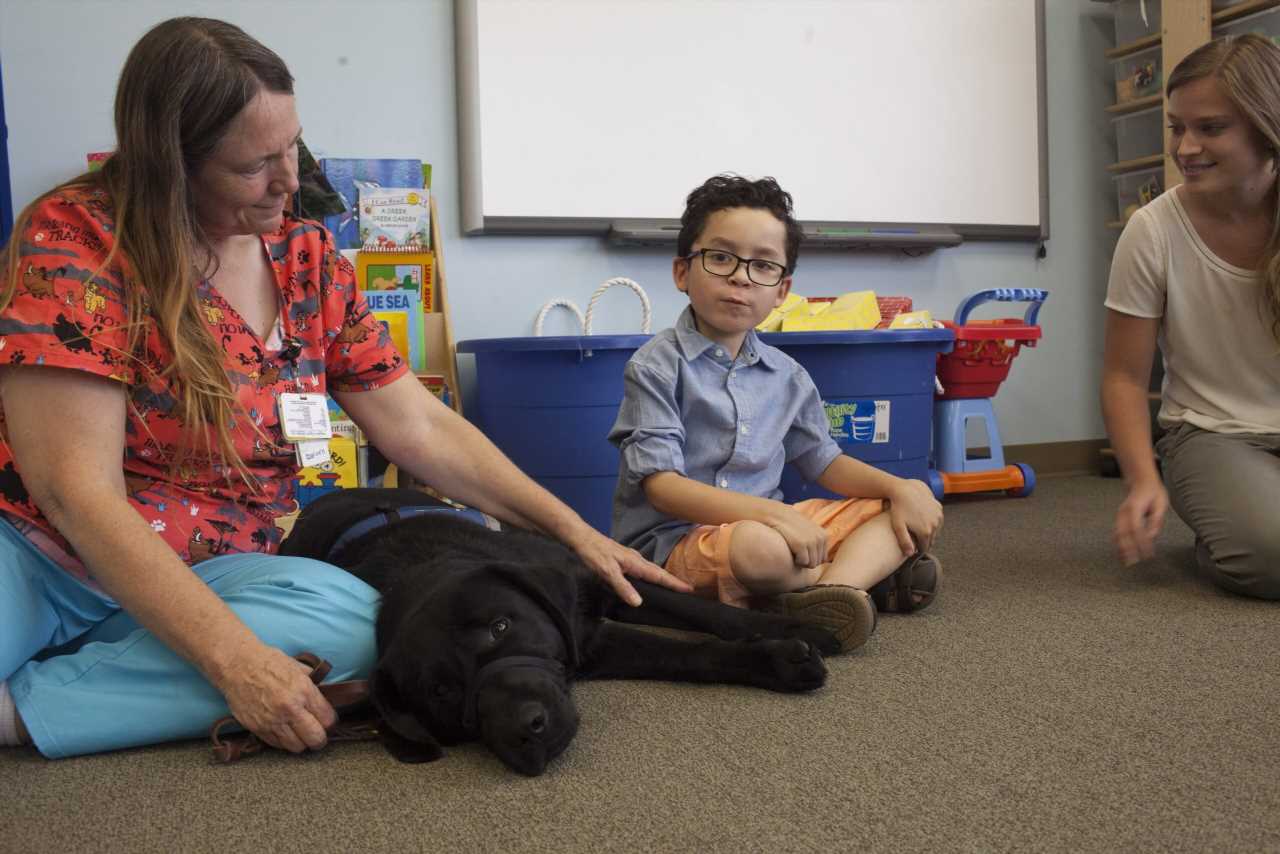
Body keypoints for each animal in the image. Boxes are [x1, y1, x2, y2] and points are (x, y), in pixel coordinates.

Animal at [282, 486, 839, 773]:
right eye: (439, 691)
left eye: (500, 625)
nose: (524, 727)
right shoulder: (595, 644)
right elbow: (689, 653)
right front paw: (779, 658)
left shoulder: (604, 583)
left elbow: (707, 613)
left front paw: (797, 626)